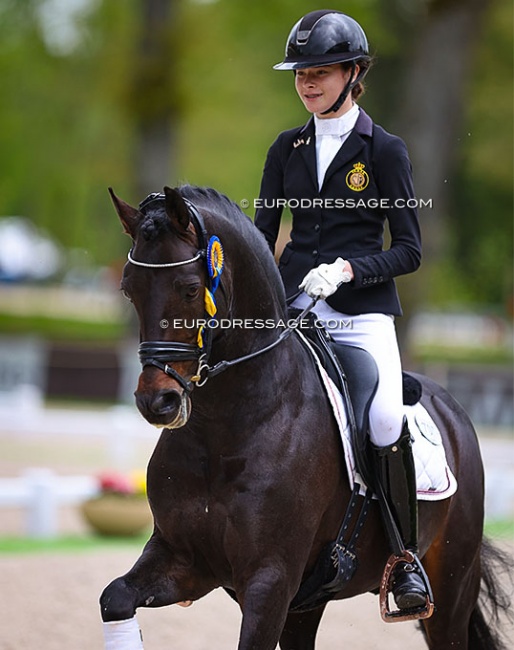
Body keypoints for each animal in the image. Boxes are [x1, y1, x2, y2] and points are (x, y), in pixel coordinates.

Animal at [100, 184, 508, 648]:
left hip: (451, 587)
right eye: (128, 289)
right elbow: (115, 597)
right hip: (309, 602)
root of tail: (451, 409)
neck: (226, 430)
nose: (158, 401)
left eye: (189, 288)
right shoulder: (184, 560)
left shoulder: (270, 580)